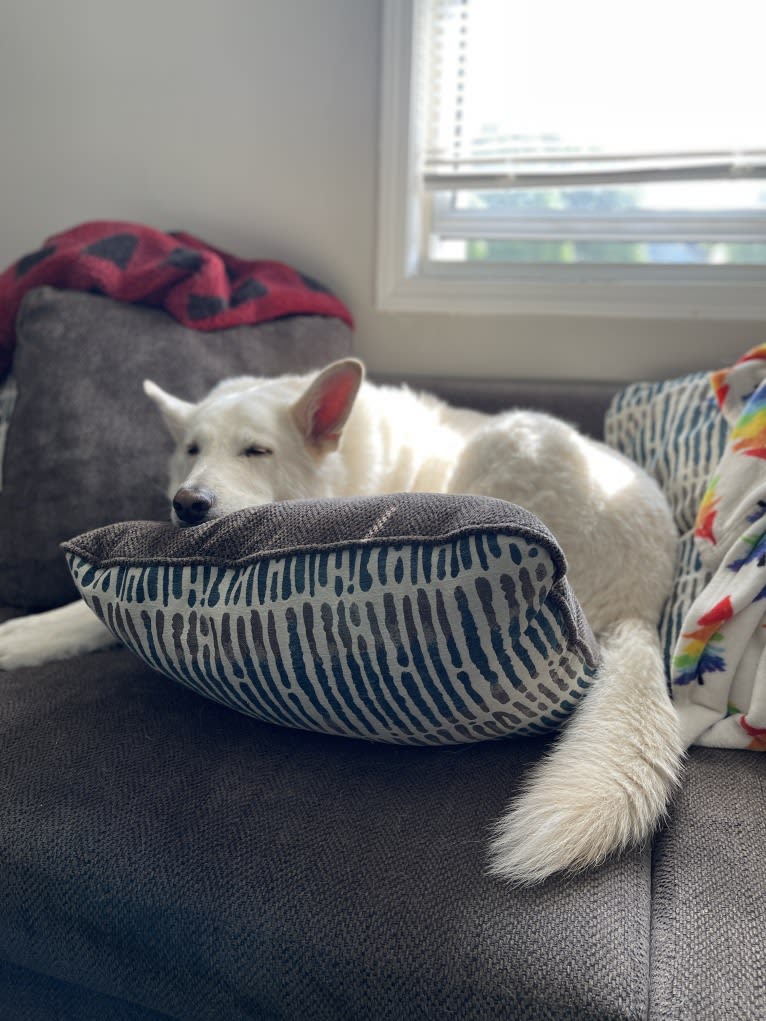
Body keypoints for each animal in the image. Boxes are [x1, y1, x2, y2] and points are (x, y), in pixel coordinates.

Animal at [0, 359, 682, 886]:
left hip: (515, 438)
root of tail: (641, 608)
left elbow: (94, 619)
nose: (187, 504)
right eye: (191, 450)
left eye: (256, 451)